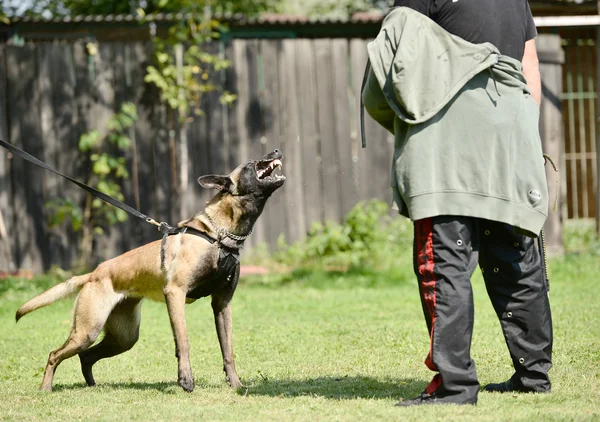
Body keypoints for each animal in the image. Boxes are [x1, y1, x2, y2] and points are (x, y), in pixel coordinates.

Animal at [14, 149, 286, 392]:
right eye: (251, 163)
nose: (276, 150)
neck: (217, 235)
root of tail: (93, 274)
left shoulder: (222, 303)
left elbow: (228, 350)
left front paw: (236, 385)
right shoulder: (175, 293)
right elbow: (183, 341)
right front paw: (185, 381)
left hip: (123, 337)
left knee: (86, 356)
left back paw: (91, 385)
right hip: (87, 330)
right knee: (54, 354)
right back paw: (46, 388)